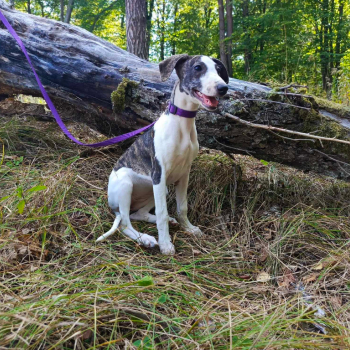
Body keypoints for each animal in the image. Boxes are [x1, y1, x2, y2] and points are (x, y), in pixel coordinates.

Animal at [96, 54, 230, 254]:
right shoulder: (159, 173)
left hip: (159, 188)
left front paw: (188, 228)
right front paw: (166, 244)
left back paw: (167, 223)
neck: (182, 123)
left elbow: (182, 207)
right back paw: (145, 238)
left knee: (138, 214)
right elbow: (162, 213)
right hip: (128, 184)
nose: (223, 88)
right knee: (125, 224)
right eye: (198, 67)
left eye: (219, 70)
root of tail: (115, 207)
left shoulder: (184, 174)